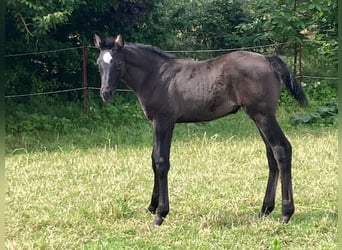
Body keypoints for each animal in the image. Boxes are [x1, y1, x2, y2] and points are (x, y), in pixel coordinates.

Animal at [93, 33, 308, 227]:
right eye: (98, 64)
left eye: (118, 63)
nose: (105, 93)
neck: (156, 77)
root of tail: (268, 60)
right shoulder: (155, 122)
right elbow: (154, 160)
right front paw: (152, 206)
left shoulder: (164, 121)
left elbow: (162, 162)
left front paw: (161, 214)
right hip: (259, 117)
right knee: (271, 155)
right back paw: (265, 210)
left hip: (263, 116)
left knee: (281, 149)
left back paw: (286, 213)